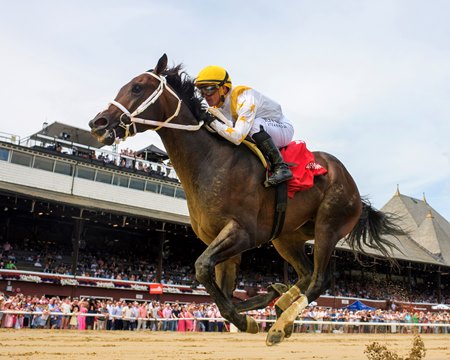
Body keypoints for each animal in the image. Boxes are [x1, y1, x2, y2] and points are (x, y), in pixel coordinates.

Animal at [89, 54, 404, 344]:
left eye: (137, 87)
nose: (98, 122)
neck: (210, 161)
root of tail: (354, 188)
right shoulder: (221, 241)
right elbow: (220, 290)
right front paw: (264, 299)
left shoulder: (241, 234)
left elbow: (203, 270)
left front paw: (250, 318)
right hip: (286, 236)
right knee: (304, 275)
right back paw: (281, 306)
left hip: (328, 225)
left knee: (319, 279)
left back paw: (279, 325)